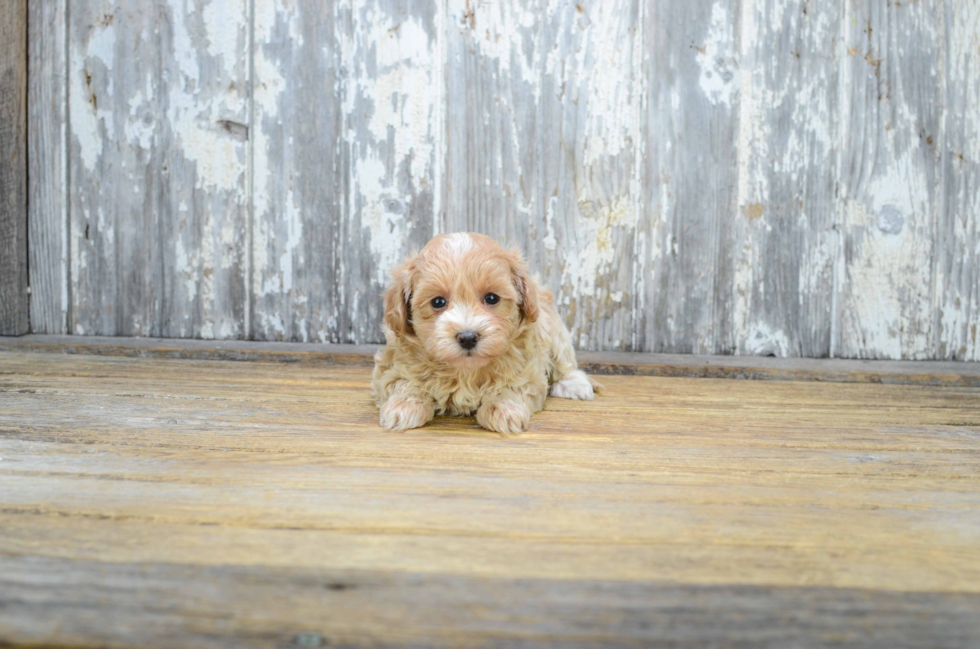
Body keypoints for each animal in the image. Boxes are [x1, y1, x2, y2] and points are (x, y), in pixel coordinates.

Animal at [370, 230, 592, 432]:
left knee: (563, 360)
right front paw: (404, 405)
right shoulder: (390, 366)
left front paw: (503, 409)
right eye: (438, 302)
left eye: (492, 298)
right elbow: (404, 381)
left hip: (554, 328)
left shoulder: (528, 368)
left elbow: (514, 385)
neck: (465, 370)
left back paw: (574, 384)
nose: (468, 338)